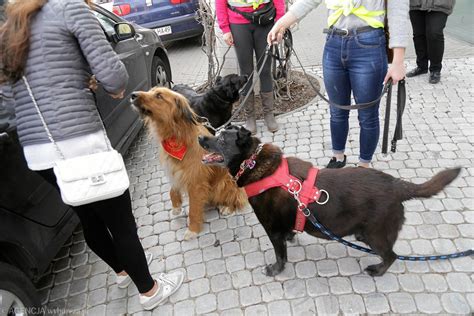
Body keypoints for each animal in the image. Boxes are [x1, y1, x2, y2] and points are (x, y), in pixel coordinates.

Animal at [131, 86, 248, 239]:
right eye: (151, 91)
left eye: (159, 96)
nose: (132, 95)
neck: (177, 136)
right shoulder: (176, 171)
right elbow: (172, 190)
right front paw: (176, 206)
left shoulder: (196, 182)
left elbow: (193, 209)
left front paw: (193, 229)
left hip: (223, 183)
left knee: (238, 197)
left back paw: (228, 207)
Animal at [198, 126, 462, 276]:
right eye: (214, 134)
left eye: (221, 140)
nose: (201, 137)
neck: (253, 162)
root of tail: (397, 184)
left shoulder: (272, 230)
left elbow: (280, 255)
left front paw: (276, 270)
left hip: (376, 235)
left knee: (391, 256)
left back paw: (377, 271)